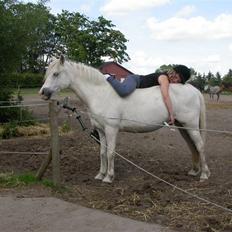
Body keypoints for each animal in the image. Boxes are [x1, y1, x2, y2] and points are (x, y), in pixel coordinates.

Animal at [39, 55, 210, 183]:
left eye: (56, 74)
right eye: (47, 74)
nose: (43, 92)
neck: (100, 93)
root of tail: (195, 90)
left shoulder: (111, 129)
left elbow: (110, 152)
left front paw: (109, 177)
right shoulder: (101, 131)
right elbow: (102, 153)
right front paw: (100, 174)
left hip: (191, 126)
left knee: (201, 146)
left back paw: (204, 175)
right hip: (183, 127)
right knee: (193, 147)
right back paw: (194, 171)